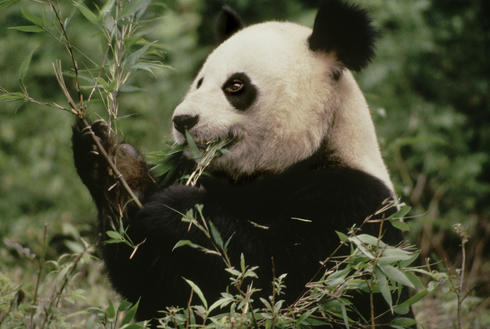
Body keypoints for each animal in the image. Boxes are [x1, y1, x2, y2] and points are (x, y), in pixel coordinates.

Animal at [72, 0, 408, 326]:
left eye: (235, 85)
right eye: (199, 82)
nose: (183, 120)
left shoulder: (350, 205)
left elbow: (279, 281)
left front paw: (181, 209)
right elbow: (159, 288)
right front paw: (113, 163)